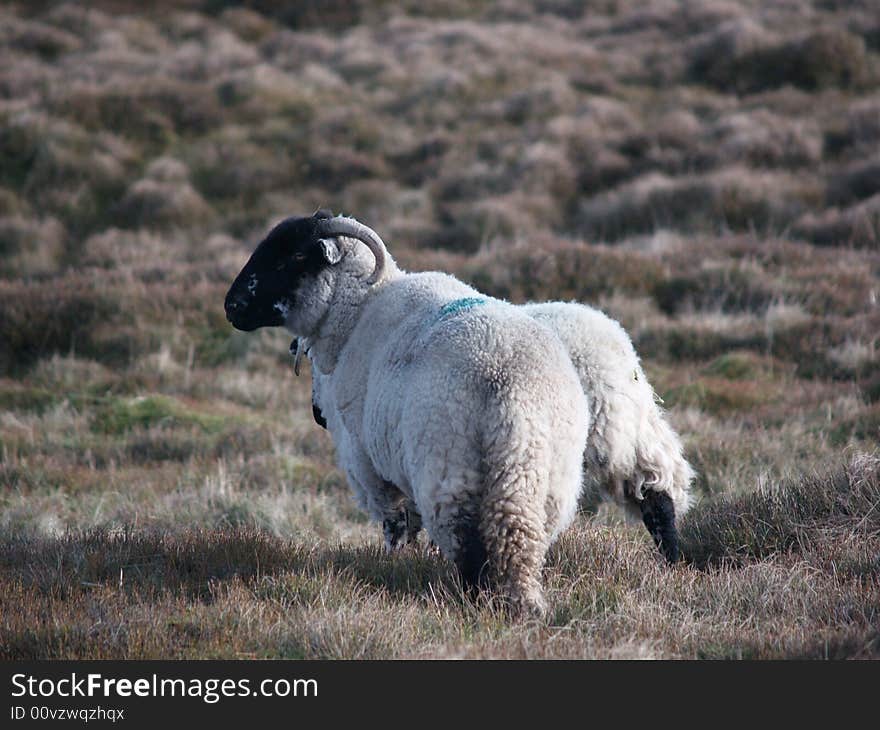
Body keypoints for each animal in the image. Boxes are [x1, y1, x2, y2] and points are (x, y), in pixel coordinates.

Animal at [223, 210, 588, 616]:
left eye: (295, 256)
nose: (232, 306)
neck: (357, 312)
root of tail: (509, 383)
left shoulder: (366, 463)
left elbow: (396, 524)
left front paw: (395, 562)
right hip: (548, 480)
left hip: (447, 469)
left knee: (465, 542)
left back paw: (475, 598)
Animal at [306, 298, 692, 560]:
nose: (317, 415)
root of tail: (615, 339)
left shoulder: (373, 467)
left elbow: (398, 522)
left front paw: (399, 558)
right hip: (622, 420)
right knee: (655, 484)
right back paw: (671, 557)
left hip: (603, 424)